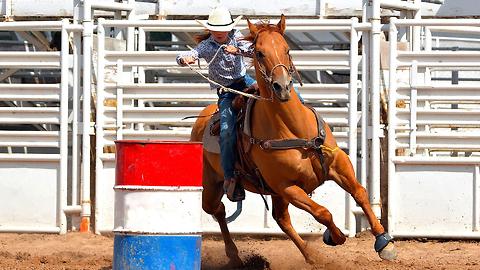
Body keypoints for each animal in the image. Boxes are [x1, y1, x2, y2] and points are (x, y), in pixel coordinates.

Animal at [190, 14, 398, 266]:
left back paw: (310, 256)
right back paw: (235, 255)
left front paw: (384, 242)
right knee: (218, 209)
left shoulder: (338, 163)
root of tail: (201, 120)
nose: (282, 87)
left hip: (273, 193)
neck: (293, 128)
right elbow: (322, 212)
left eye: (287, 49)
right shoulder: (287, 186)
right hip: (212, 185)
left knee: (280, 219)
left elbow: (360, 192)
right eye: (259, 53)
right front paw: (335, 236)